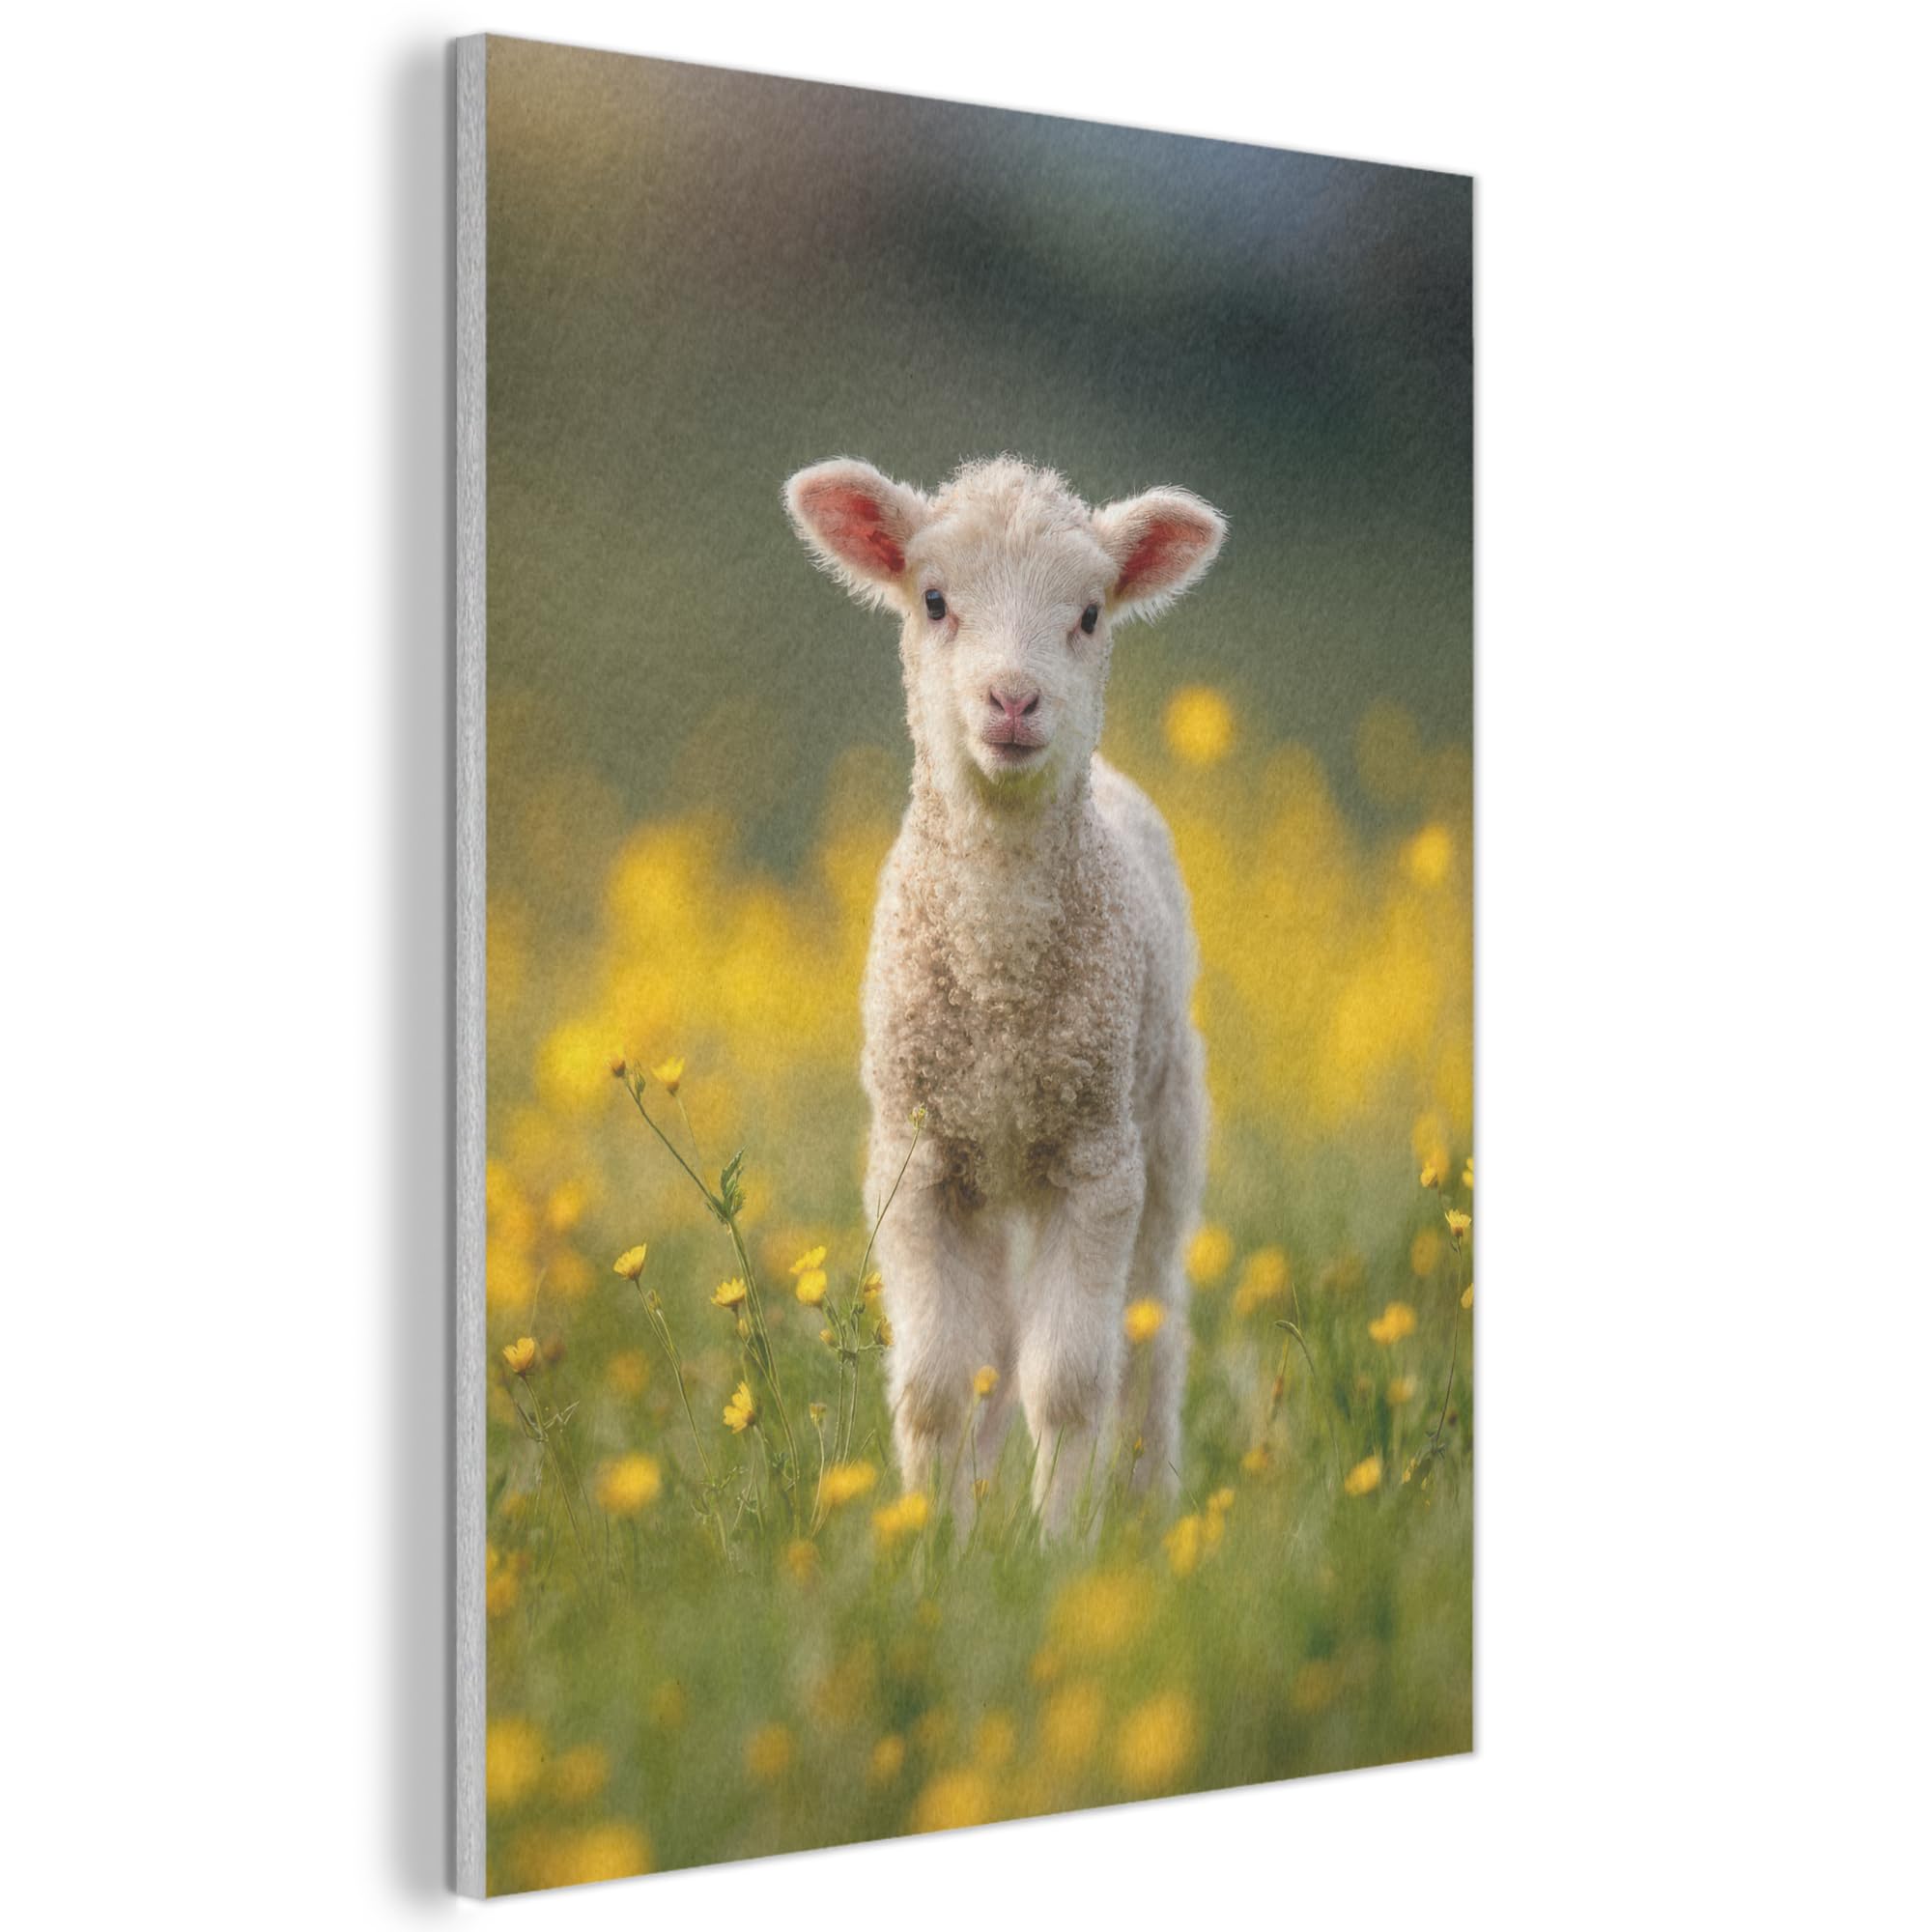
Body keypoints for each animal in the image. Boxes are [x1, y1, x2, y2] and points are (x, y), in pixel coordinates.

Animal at [784, 455, 1225, 1531]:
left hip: (1163, 1124)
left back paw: (1146, 1511)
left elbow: (1066, 1382)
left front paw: (1059, 1543)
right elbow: (939, 1383)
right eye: (935, 601)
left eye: (1091, 613)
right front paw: (933, 1541)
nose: (1014, 698)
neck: (999, 992)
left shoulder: (1096, 1159)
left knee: (1148, 1337)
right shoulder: (915, 1158)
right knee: (993, 1351)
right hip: (985, 1169)